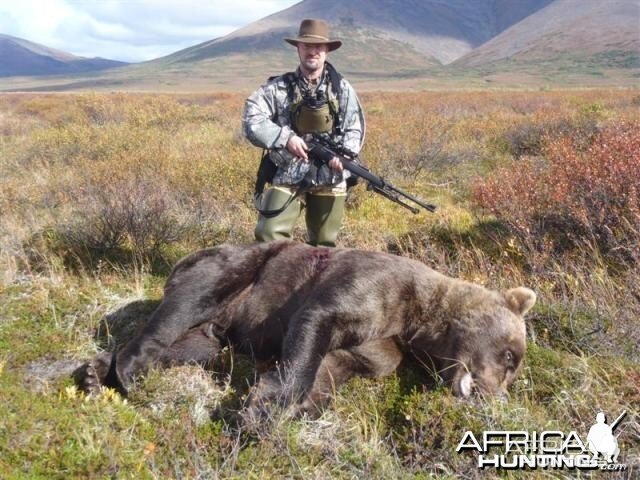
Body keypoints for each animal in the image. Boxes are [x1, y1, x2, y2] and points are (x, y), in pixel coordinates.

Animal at [77, 242, 536, 414]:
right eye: (510, 355)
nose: (494, 396)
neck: (418, 321)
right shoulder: (373, 286)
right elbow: (315, 323)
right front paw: (266, 405)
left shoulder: (381, 346)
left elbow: (335, 367)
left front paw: (287, 405)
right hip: (236, 269)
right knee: (186, 304)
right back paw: (129, 370)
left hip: (214, 332)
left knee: (192, 347)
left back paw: (96, 372)